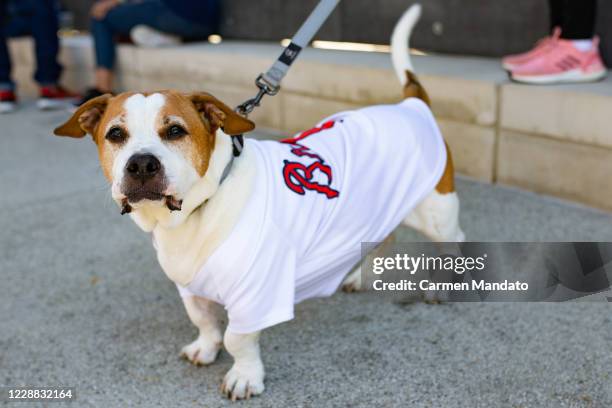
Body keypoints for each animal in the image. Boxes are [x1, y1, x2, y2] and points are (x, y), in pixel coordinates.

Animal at [53, 4, 464, 400]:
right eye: (115, 134)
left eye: (174, 131)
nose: (140, 164)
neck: (198, 210)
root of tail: (411, 106)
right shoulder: (189, 287)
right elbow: (204, 321)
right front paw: (206, 347)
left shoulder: (255, 295)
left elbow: (237, 338)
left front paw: (244, 376)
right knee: (384, 237)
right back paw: (359, 277)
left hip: (437, 212)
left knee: (452, 242)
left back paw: (443, 287)